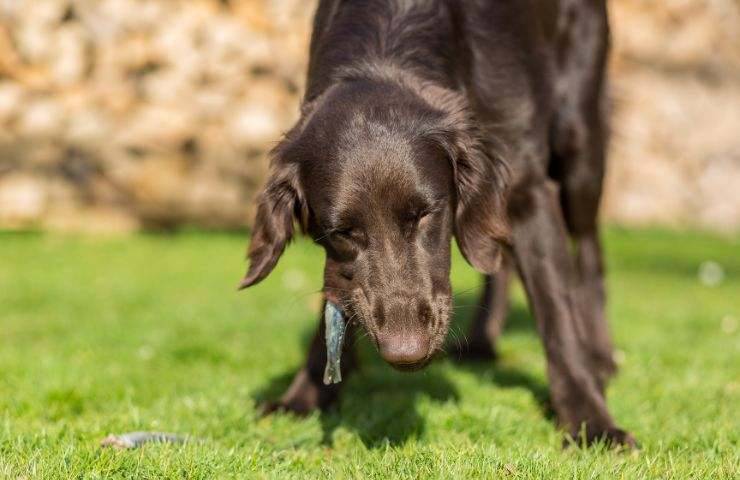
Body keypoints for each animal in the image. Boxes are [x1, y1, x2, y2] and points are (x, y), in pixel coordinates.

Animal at [240, 0, 632, 446]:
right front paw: (304, 396)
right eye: (342, 232)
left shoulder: (528, 187)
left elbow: (557, 310)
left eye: (424, 213)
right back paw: (482, 340)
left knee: (588, 248)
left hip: (578, 139)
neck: (388, 45)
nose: (405, 351)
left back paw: (600, 355)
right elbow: (335, 300)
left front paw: (591, 420)